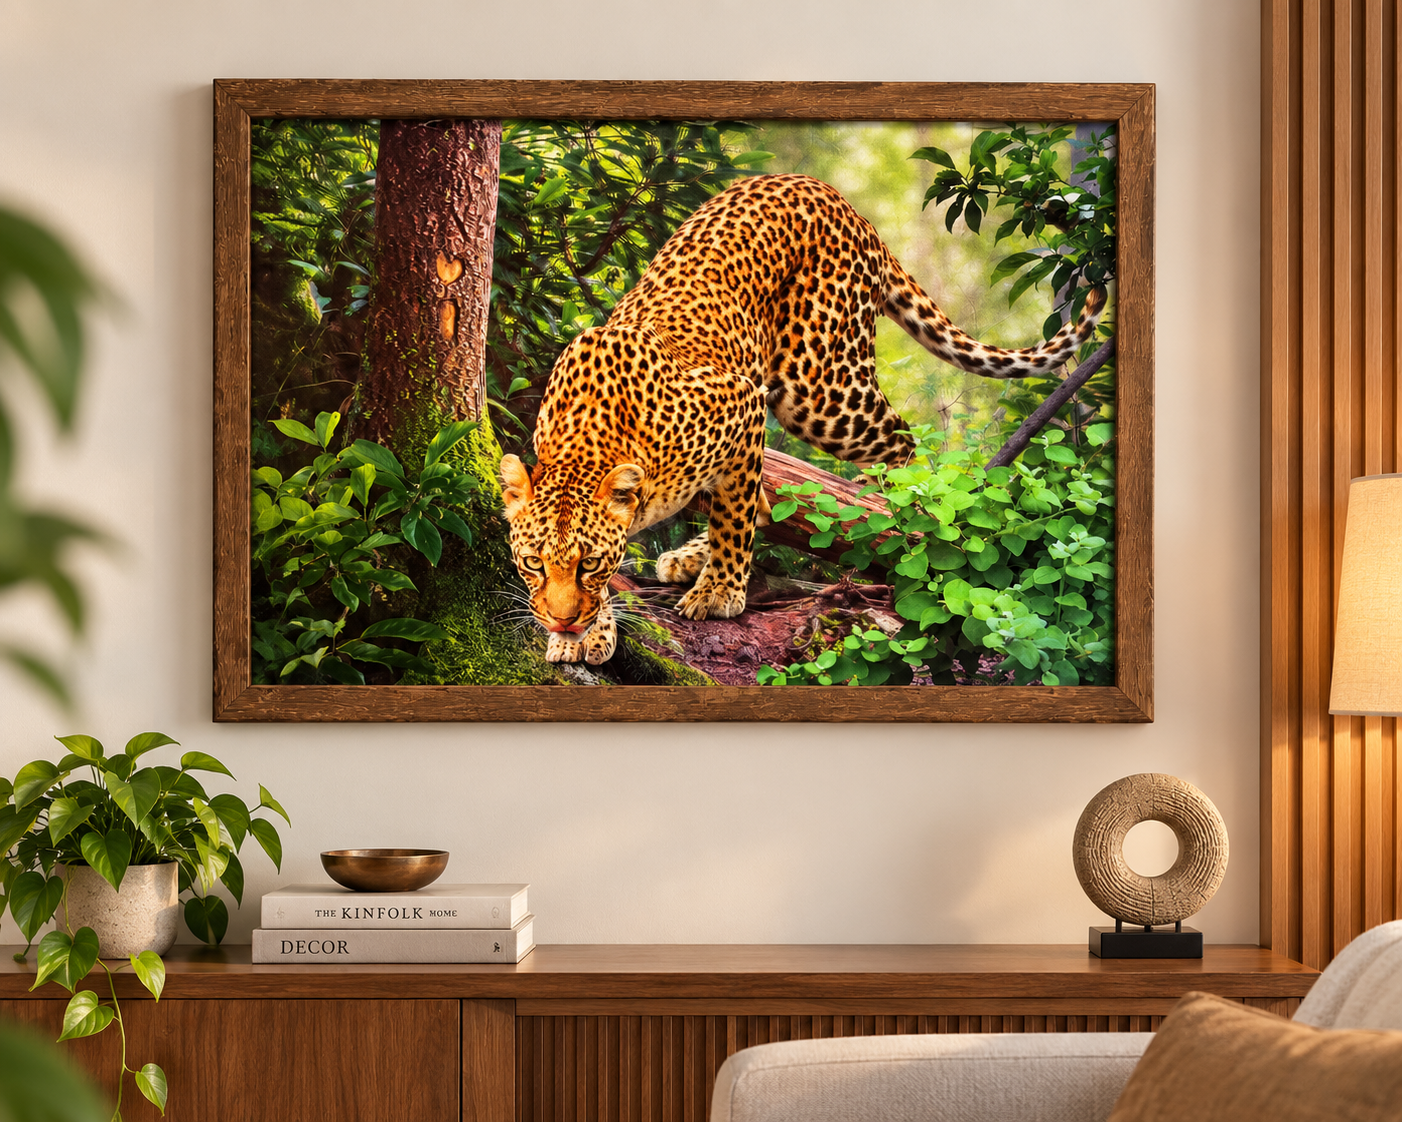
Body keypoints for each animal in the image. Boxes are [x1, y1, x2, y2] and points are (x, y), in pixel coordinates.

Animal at [499, 173, 1106, 665]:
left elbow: (735, 519)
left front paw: (719, 594)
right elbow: (736, 510)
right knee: (766, 500)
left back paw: (898, 510)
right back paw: (689, 556)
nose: (561, 621)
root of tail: (834, 195)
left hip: (823, 387)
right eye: (532, 562)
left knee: (899, 443)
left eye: (589, 563)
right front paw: (587, 633)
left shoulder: (743, 403)